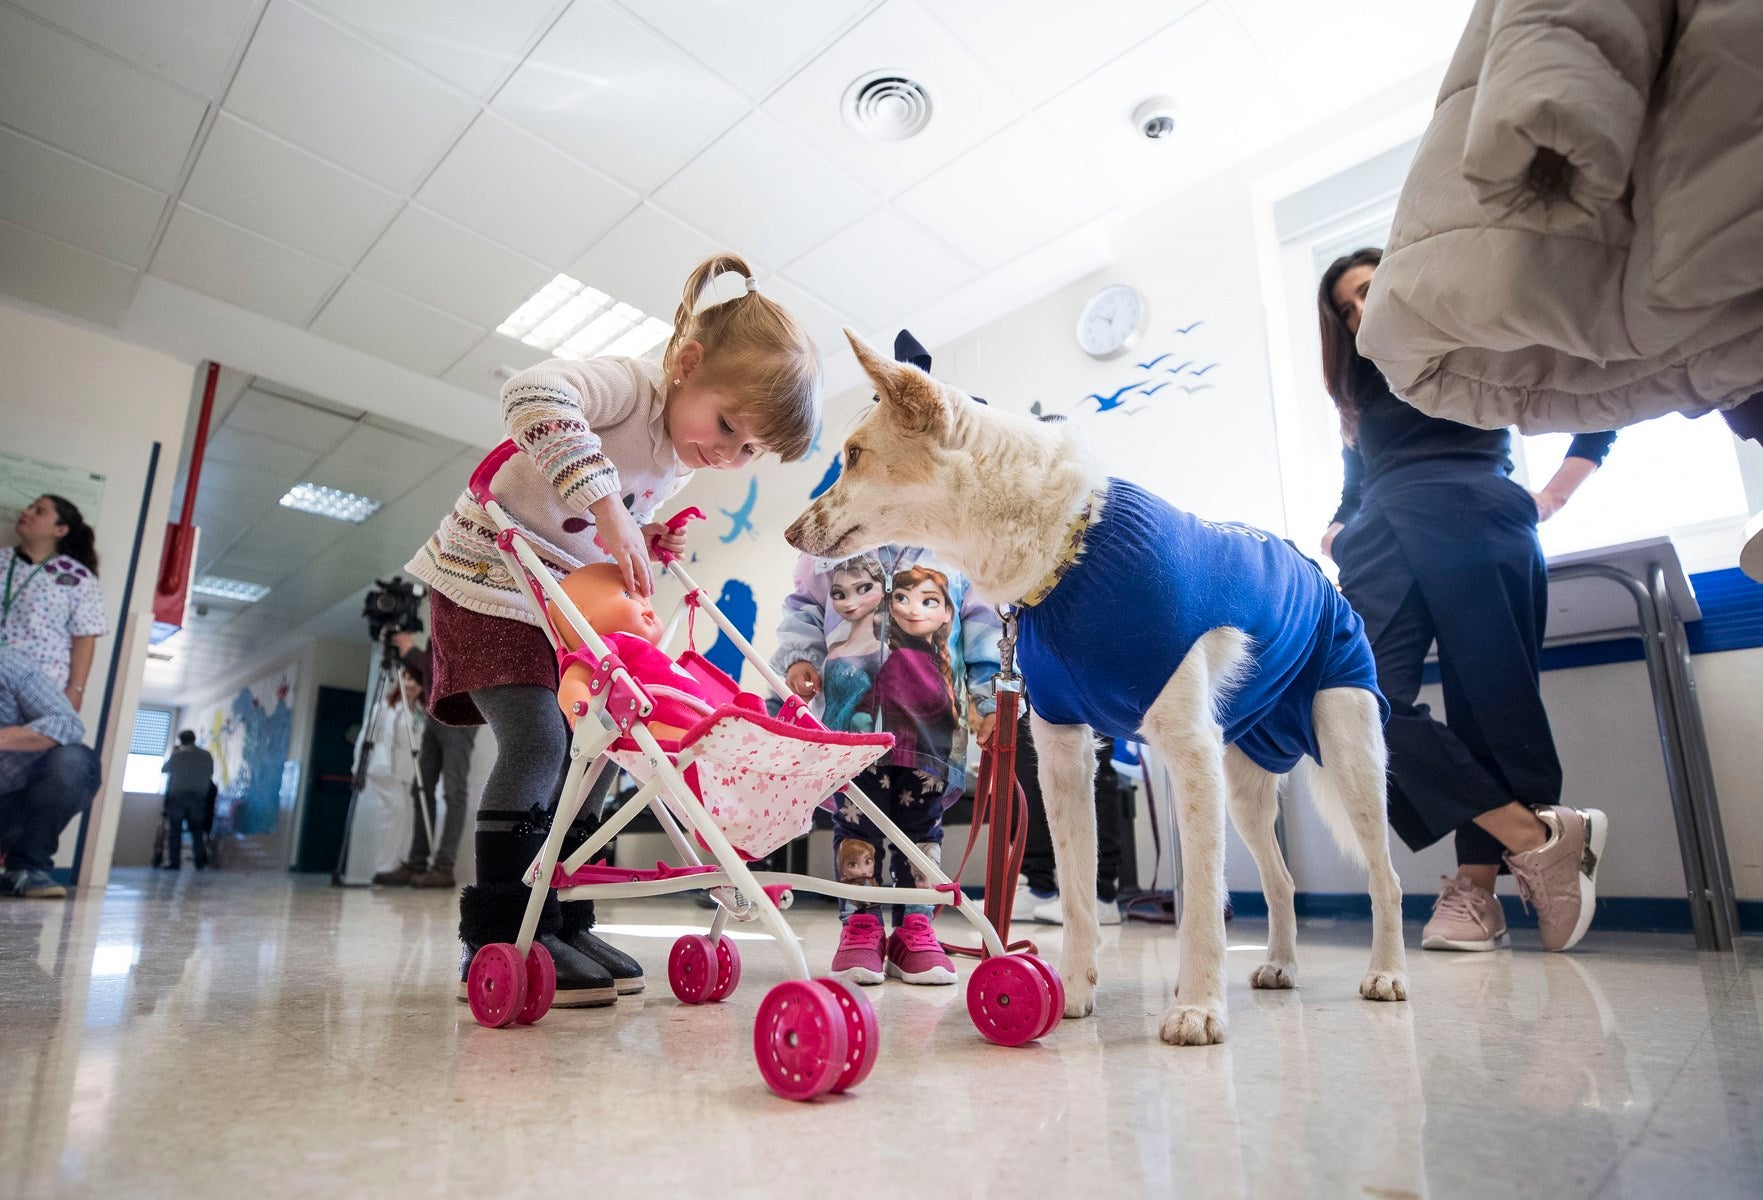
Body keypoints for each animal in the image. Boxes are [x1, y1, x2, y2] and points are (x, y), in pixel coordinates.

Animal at [782, 327, 1403, 1036]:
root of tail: (1312, 568)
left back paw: (1386, 972)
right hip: (1245, 785)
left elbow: (1201, 907)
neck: (1070, 553)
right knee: (1282, 883)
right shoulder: (1061, 753)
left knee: (1385, 877)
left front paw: (1197, 1007)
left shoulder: (1188, 749)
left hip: (1350, 756)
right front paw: (1071, 993)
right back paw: (1280, 964)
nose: (789, 532)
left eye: (855, 456)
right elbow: (1079, 892)